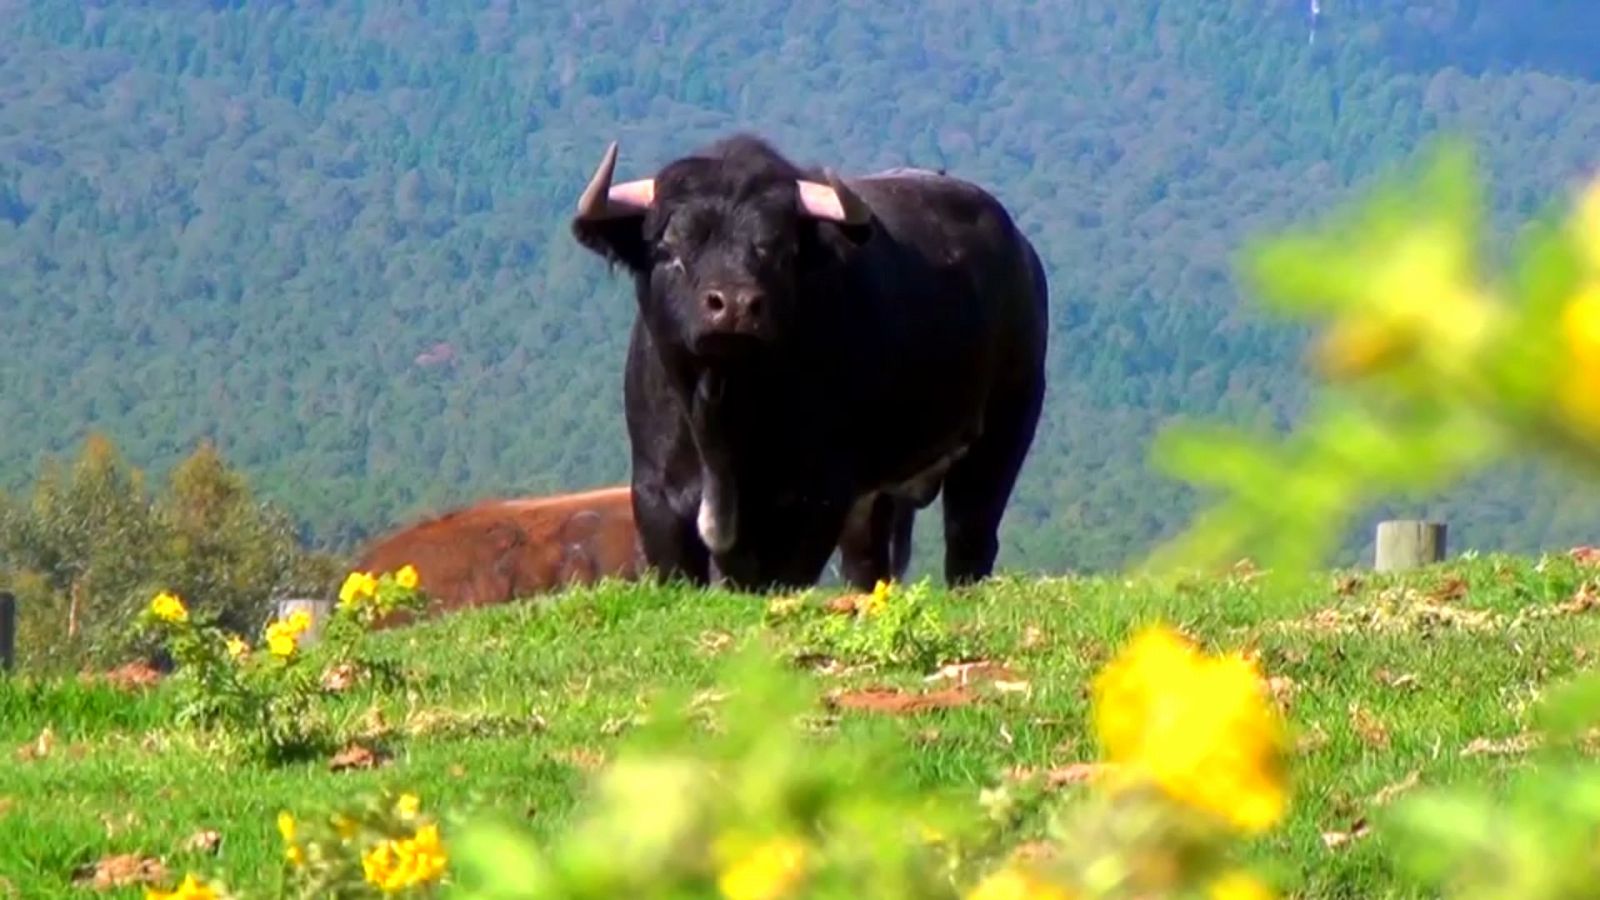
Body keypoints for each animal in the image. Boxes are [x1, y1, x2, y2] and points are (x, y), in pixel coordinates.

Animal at [572, 134, 1049, 589]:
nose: (735, 305)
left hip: (1005, 427)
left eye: (780, 249)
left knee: (970, 536)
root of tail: (1022, 253)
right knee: (868, 561)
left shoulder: (816, 497)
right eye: (669, 248)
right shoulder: (657, 496)